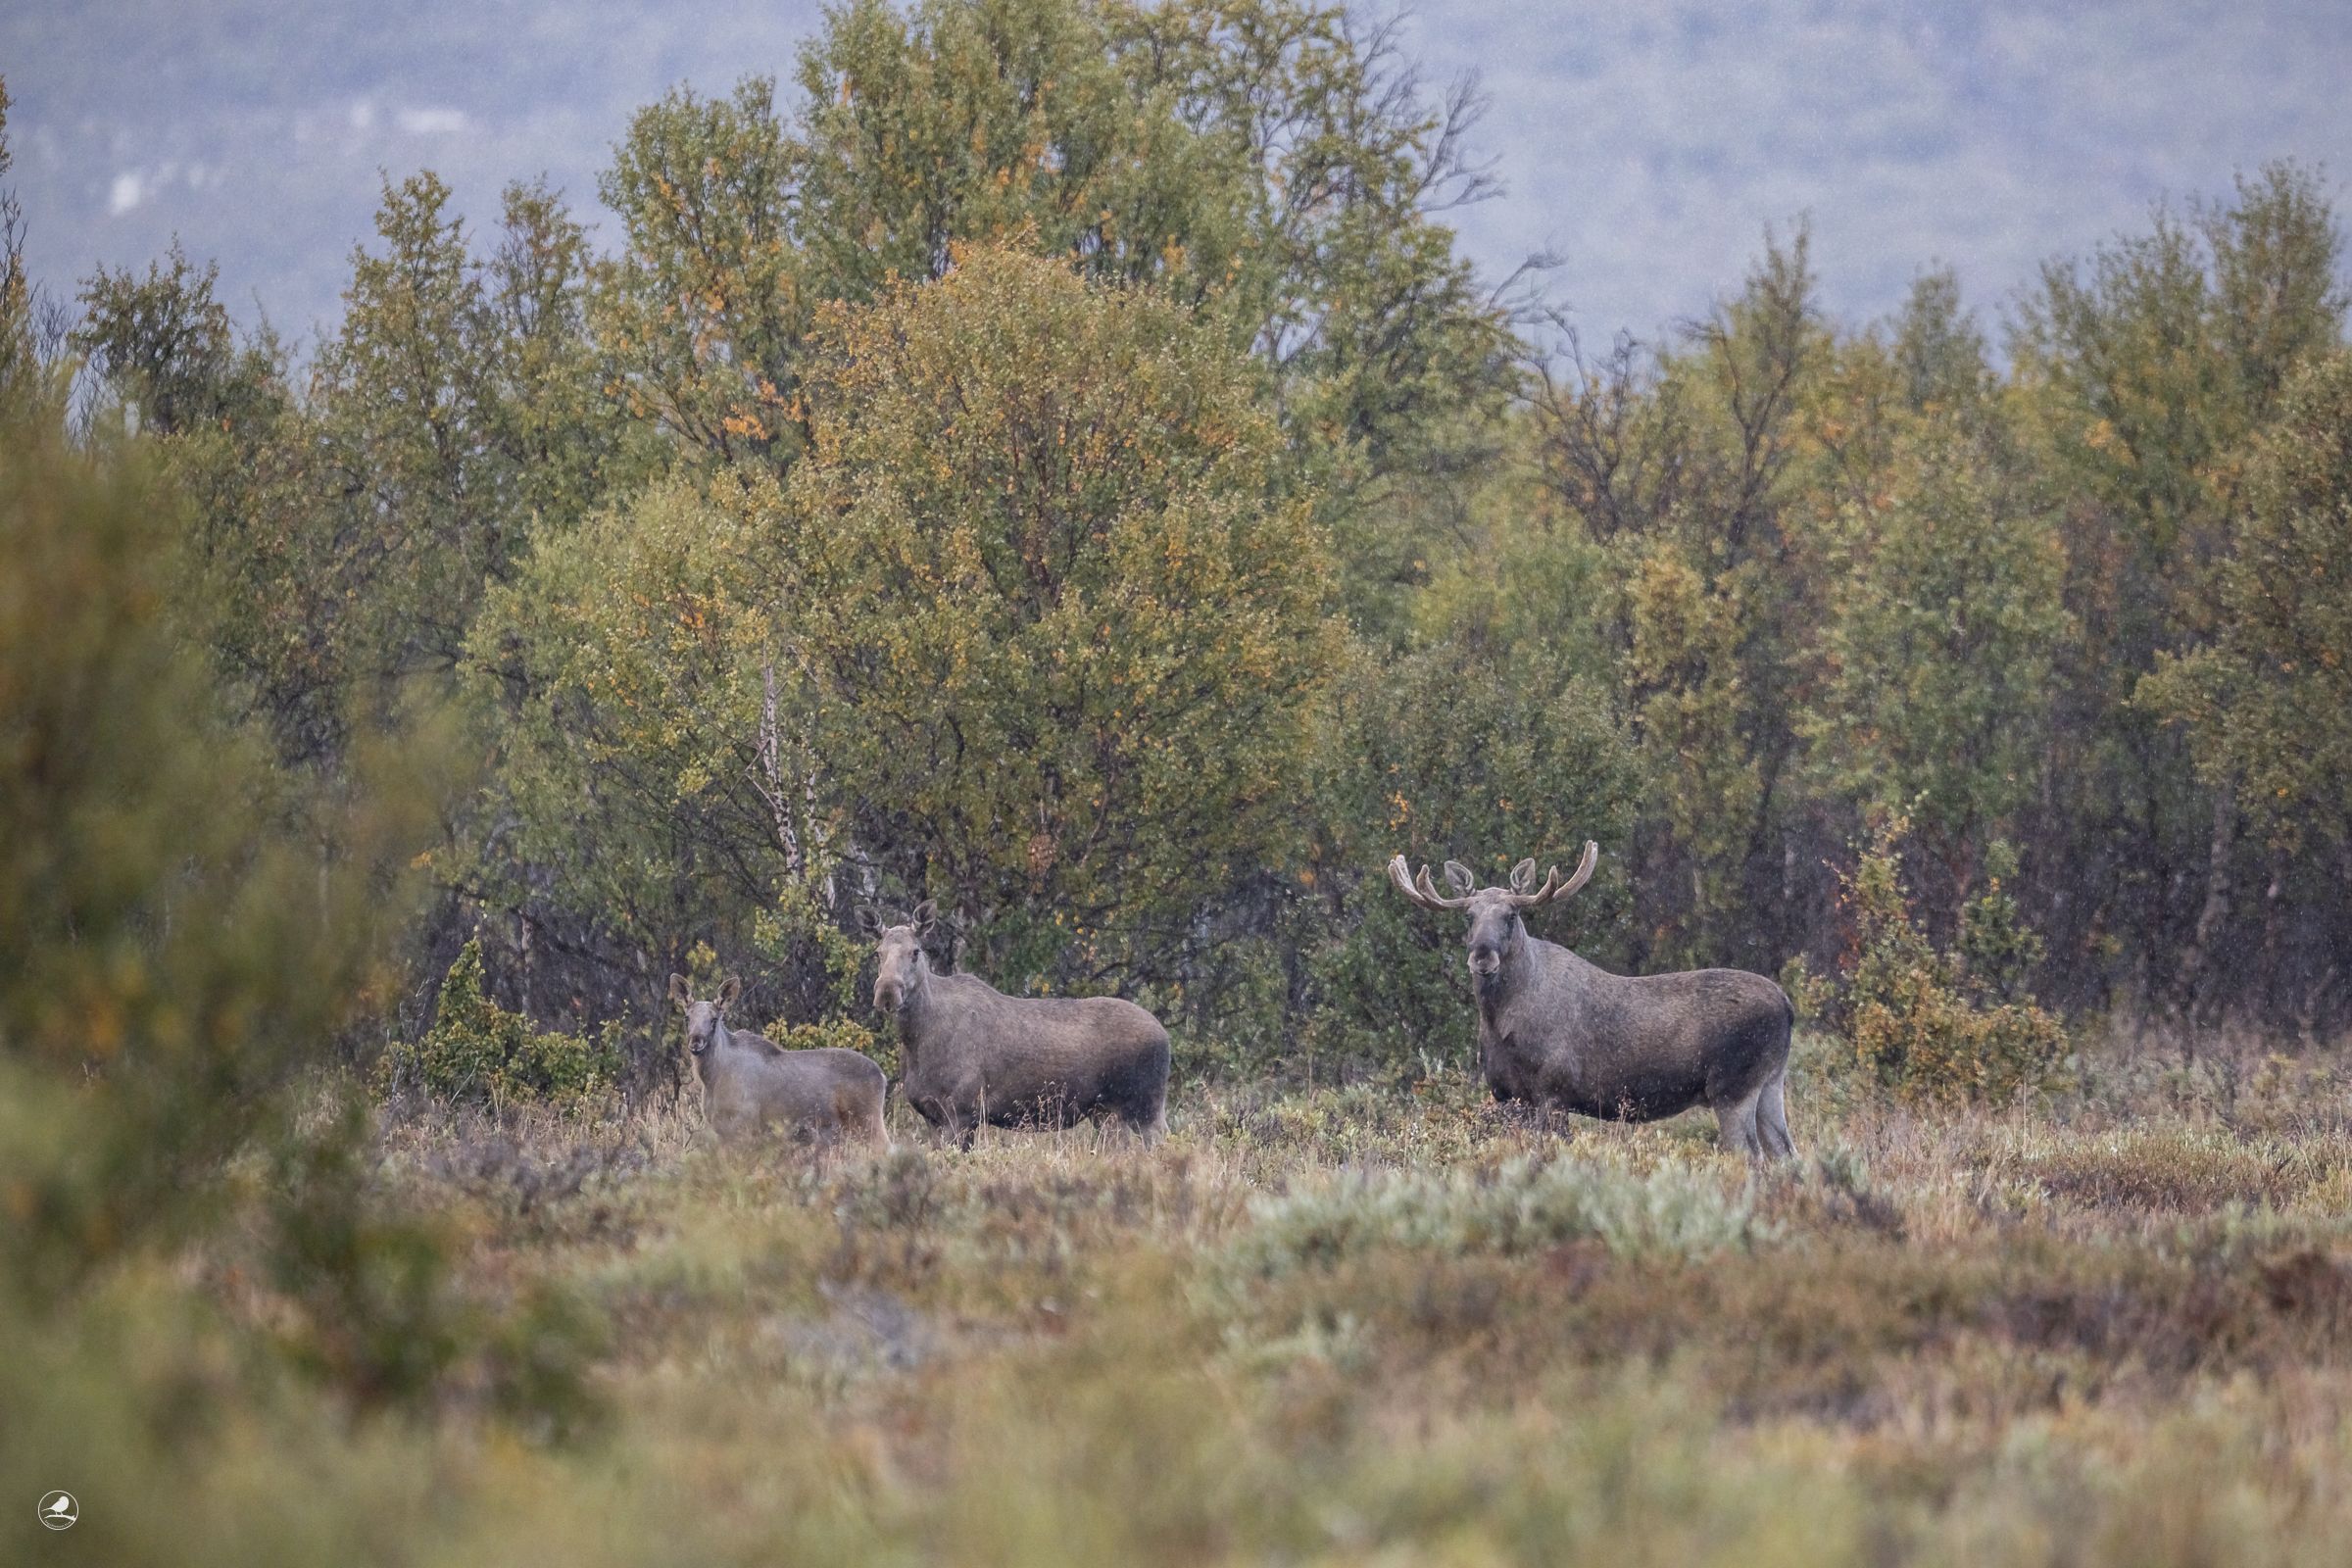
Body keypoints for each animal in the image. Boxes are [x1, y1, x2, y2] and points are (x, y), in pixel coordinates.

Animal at [668, 974, 890, 1150]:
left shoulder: (744, 1127)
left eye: (714, 1019)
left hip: (868, 1120)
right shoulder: (721, 1130)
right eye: (687, 1018)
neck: (712, 1079)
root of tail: (882, 1076)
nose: (696, 1042)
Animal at [867, 901, 1170, 1149]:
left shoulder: (963, 1111)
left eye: (915, 951)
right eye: (878, 953)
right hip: (1105, 1112)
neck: (917, 1042)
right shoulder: (932, 1116)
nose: (887, 991)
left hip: (1146, 1104)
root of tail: (1165, 1036)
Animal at [1387, 844, 1796, 1159]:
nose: (1482, 956)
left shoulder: (1554, 1090)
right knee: (1786, 1155)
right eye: (1468, 916)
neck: (1501, 1023)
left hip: (1733, 1085)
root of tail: (1788, 1006)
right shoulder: (1506, 1095)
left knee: (1751, 1156)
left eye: (1511, 914)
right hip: (1770, 1082)